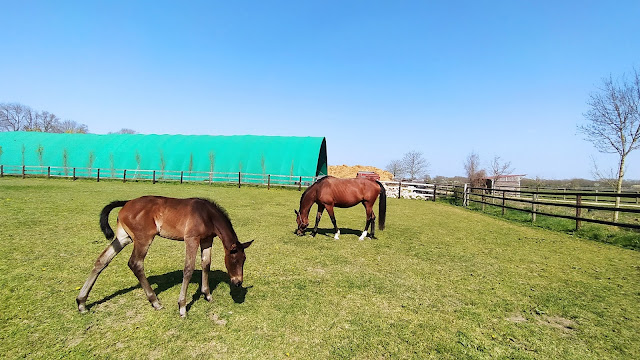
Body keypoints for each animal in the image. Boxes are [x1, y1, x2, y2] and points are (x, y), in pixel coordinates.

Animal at [76, 195, 251, 316]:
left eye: (244, 260)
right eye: (234, 259)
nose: (238, 282)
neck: (206, 215)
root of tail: (127, 202)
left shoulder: (207, 240)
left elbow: (206, 264)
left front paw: (207, 295)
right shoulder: (191, 239)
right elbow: (188, 269)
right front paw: (182, 307)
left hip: (123, 237)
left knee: (102, 260)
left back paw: (81, 303)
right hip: (143, 239)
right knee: (135, 263)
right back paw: (155, 302)